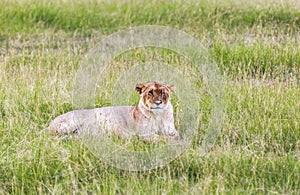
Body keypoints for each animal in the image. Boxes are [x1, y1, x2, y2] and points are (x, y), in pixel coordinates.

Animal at [49, 81, 179, 141]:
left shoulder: (171, 130)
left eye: (163, 92)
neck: (158, 116)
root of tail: (51, 123)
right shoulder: (144, 134)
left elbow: (176, 135)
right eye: (150, 93)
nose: (158, 102)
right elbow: (162, 138)